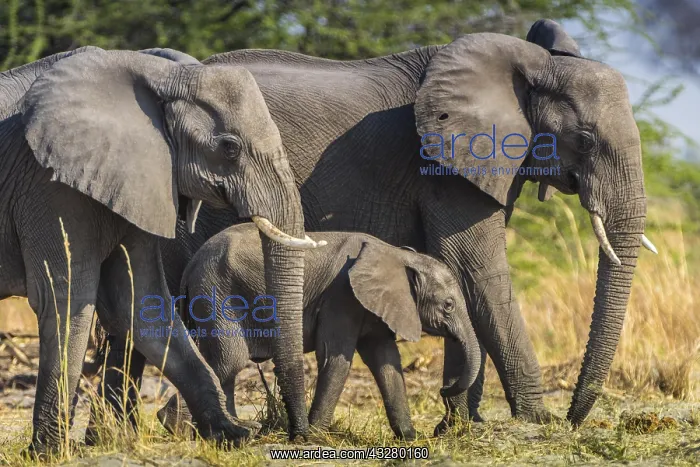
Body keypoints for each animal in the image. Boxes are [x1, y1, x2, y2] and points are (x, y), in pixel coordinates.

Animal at [0, 46, 323, 454]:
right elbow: (66, 300)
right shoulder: (50, 186)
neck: (157, 74)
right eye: (229, 148)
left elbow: (140, 304)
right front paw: (49, 453)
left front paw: (233, 435)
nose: (300, 435)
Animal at [154, 224, 481, 440]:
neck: (396, 255)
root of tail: (191, 267)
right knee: (228, 361)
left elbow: (386, 360)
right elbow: (336, 358)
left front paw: (411, 438)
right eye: (448, 305)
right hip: (218, 295)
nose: (444, 389)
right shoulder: (341, 295)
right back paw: (182, 427)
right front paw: (316, 437)